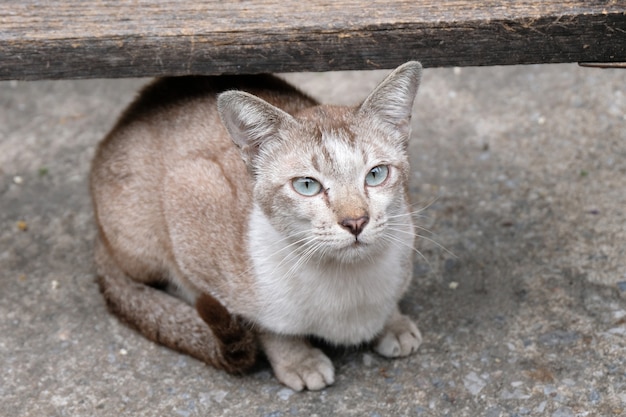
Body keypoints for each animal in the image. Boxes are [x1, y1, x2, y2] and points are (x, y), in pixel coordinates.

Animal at [91, 61, 424, 390]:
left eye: (376, 175)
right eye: (307, 185)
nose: (355, 221)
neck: (348, 279)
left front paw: (393, 323)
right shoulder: (189, 196)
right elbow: (261, 324)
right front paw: (298, 360)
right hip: (144, 240)